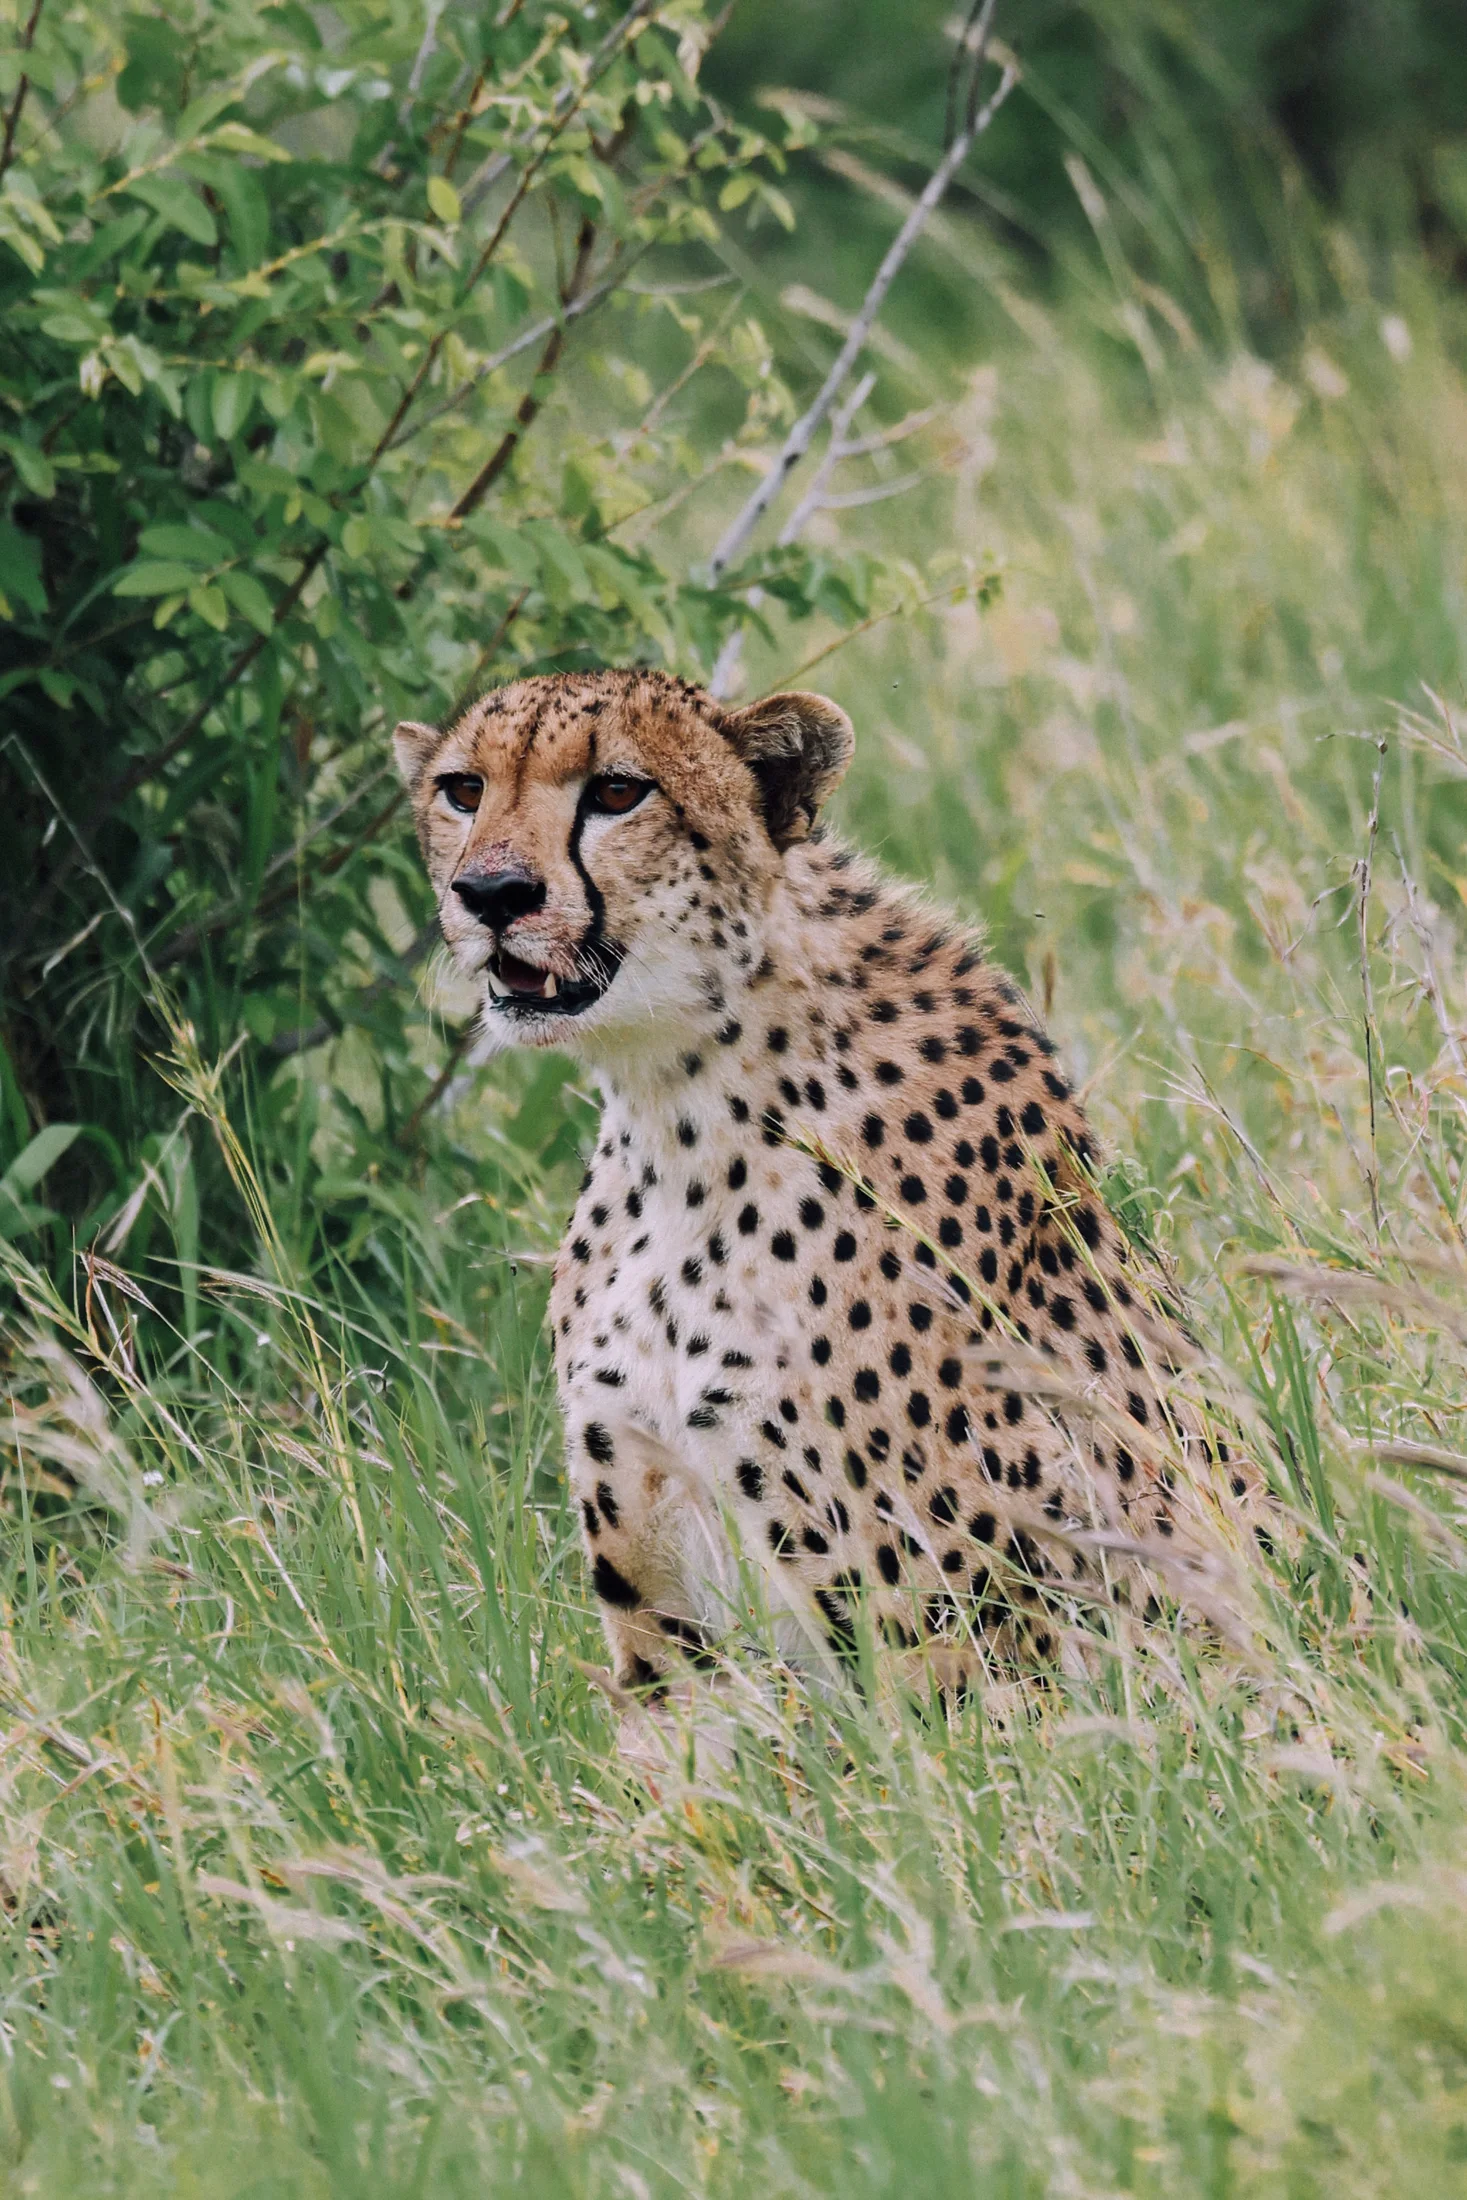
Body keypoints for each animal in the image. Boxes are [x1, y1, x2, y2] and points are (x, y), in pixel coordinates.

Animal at [393, 667, 1266, 1701]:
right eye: (462, 790)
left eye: (616, 791)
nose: (491, 893)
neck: (673, 1104)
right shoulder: (662, 1625)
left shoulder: (948, 1624)